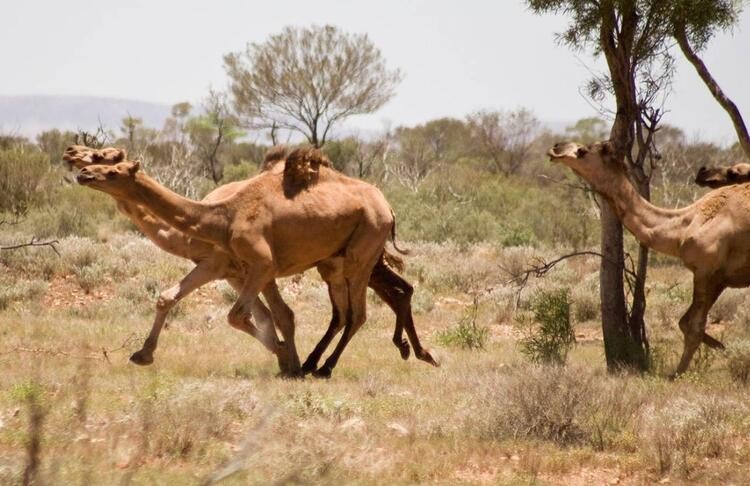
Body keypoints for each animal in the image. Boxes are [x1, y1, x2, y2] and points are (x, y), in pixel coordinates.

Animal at [548, 140, 750, 376]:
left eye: (583, 151)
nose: (556, 148)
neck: (684, 226)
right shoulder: (718, 278)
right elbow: (685, 322)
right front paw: (720, 345)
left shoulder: (705, 272)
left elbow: (694, 327)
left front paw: (677, 374)